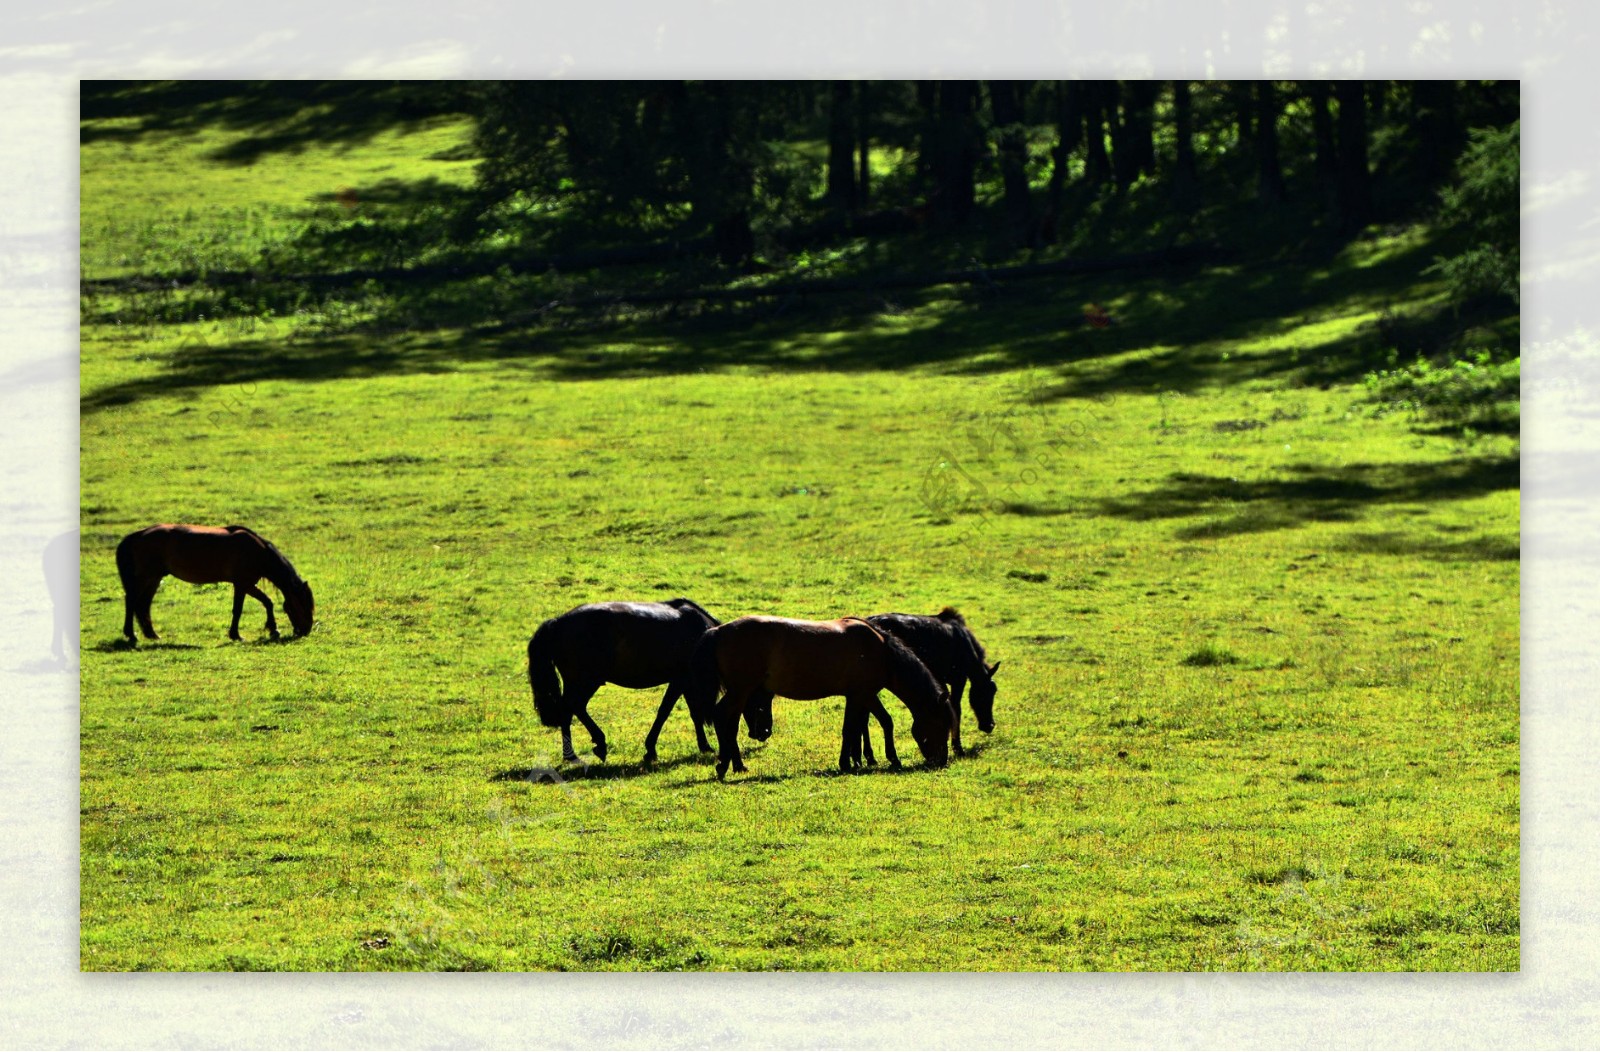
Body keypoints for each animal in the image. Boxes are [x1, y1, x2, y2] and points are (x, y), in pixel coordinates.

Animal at [116, 521, 315, 639]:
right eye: (303, 605)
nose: (306, 630)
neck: (258, 552)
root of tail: (138, 534)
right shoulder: (243, 584)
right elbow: (239, 609)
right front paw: (236, 635)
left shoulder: (246, 584)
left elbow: (267, 602)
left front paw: (273, 629)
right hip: (146, 576)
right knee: (132, 600)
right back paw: (131, 635)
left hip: (155, 577)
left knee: (143, 604)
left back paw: (151, 634)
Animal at [524, 597, 726, 761]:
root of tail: (557, 623)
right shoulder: (681, 680)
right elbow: (665, 712)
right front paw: (651, 749)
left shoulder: (685, 682)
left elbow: (694, 713)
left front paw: (704, 746)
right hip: (585, 682)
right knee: (573, 707)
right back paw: (590, 747)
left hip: (577, 682)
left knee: (569, 711)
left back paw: (572, 754)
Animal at [688, 613, 947, 777]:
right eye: (941, 725)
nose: (942, 761)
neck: (881, 650)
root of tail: (718, 631)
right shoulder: (862, 695)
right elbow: (860, 727)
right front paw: (861, 762)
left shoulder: (861, 696)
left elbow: (869, 725)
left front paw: (860, 761)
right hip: (740, 691)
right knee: (721, 717)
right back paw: (723, 765)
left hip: (740, 693)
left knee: (730, 725)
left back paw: (737, 765)